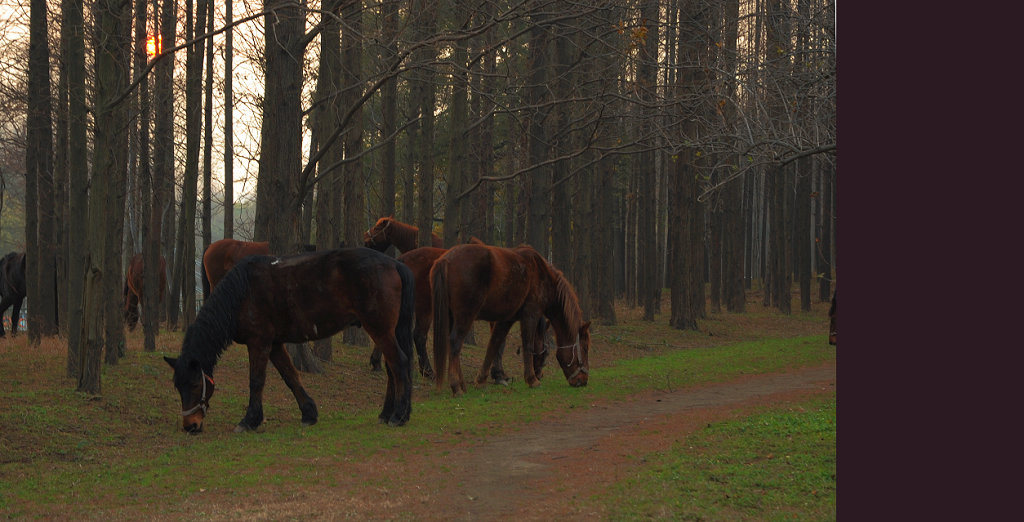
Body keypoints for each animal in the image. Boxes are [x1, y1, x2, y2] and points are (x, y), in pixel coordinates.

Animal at [163, 246, 411, 433]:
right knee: (392, 368)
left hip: (379, 329)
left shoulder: (259, 343)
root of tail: (393, 263)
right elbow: (290, 376)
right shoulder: (274, 345)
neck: (242, 293)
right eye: (177, 386)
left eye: (195, 384)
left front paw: (249, 420)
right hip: (384, 331)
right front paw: (309, 413)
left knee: (399, 363)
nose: (190, 426)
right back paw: (387, 413)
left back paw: (399, 415)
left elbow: (256, 381)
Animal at [432, 244, 593, 395]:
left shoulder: (506, 320)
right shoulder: (530, 315)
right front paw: (532, 380)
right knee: (455, 343)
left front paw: (481, 380)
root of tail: (446, 259)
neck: (543, 275)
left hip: (452, 317)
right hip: (465, 316)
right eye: (585, 348)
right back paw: (456, 387)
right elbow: (528, 345)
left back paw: (462, 385)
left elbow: (493, 345)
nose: (583, 381)